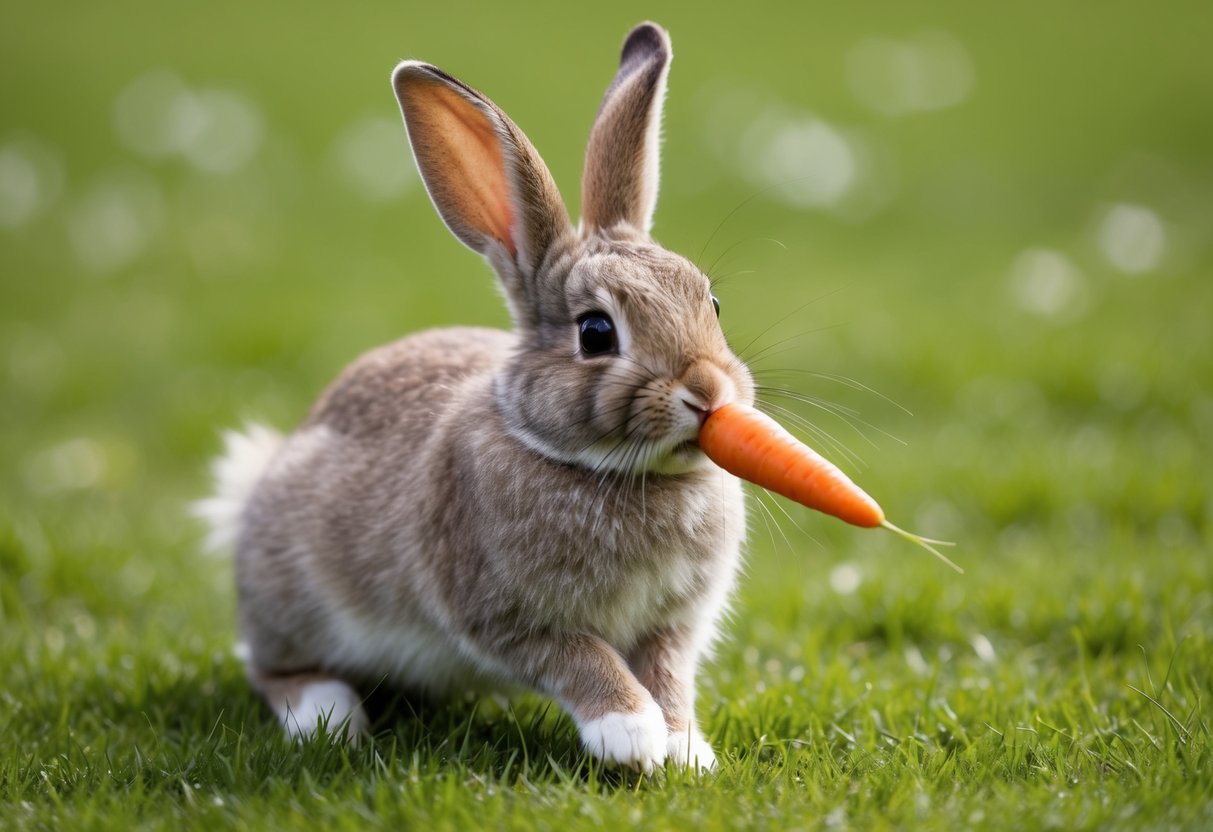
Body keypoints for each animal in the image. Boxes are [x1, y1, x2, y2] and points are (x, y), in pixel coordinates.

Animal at [197, 21, 754, 773]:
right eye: (596, 332)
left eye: (712, 303)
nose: (707, 391)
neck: (616, 473)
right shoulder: (504, 615)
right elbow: (580, 657)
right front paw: (629, 734)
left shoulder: (671, 624)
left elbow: (669, 676)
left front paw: (684, 749)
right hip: (291, 595)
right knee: (269, 667)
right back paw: (327, 715)